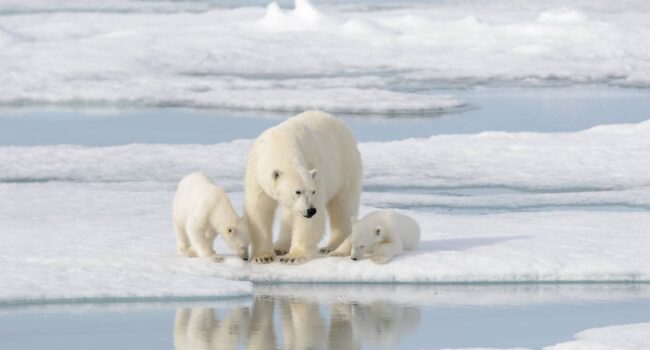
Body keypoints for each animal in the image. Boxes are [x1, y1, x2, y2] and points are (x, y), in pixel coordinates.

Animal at [243, 110, 362, 264]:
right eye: (297, 191)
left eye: (313, 191)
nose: (311, 210)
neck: (280, 144)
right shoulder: (256, 172)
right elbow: (259, 209)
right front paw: (263, 256)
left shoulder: (314, 170)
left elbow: (309, 222)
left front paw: (293, 256)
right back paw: (280, 246)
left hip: (345, 166)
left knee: (342, 207)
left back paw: (332, 246)